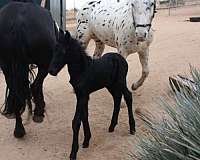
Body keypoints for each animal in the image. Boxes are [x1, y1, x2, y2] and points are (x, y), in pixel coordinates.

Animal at [0, 0, 57, 138]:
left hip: (7, 65)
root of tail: (18, 20)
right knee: (35, 85)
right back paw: (38, 113)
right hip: (44, 64)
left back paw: (18, 128)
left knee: (15, 89)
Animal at [48, 30, 136, 160]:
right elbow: (84, 116)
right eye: (54, 50)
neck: (82, 70)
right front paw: (86, 141)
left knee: (128, 96)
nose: (52, 71)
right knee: (117, 98)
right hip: (110, 84)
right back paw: (112, 126)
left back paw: (132, 128)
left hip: (120, 82)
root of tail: (120, 58)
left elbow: (76, 121)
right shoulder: (81, 95)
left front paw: (73, 152)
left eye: (63, 51)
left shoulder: (83, 95)